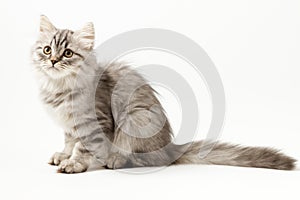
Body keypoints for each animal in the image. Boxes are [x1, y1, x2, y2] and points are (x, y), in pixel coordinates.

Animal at [32, 15, 296, 173]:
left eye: (67, 53)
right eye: (46, 50)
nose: (53, 61)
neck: (58, 87)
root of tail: (170, 147)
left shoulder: (97, 122)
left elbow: (83, 148)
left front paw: (74, 163)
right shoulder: (70, 126)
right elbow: (69, 142)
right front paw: (63, 155)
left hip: (136, 118)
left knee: (142, 159)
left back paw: (114, 160)